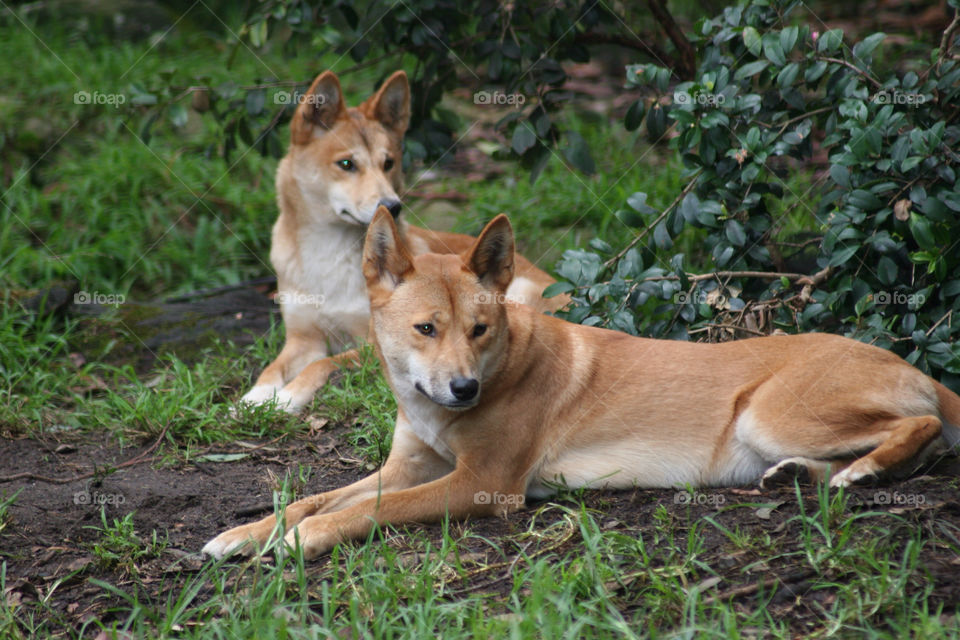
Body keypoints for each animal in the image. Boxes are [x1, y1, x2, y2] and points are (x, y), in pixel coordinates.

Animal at [239, 69, 564, 410]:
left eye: (388, 163)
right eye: (346, 164)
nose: (393, 206)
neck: (330, 253)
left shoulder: (370, 343)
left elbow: (321, 365)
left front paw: (287, 398)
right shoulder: (303, 339)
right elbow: (272, 368)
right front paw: (254, 396)